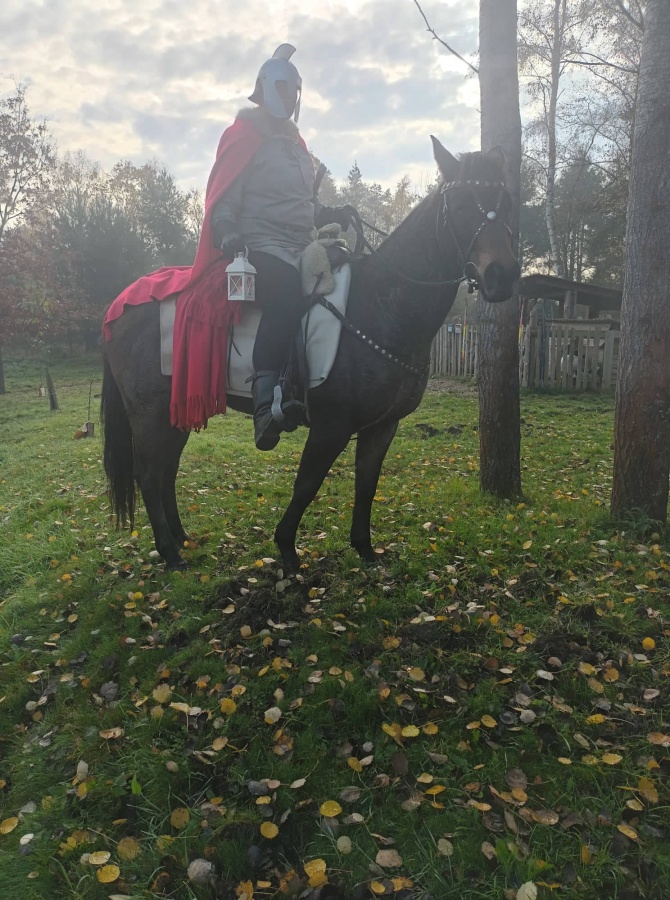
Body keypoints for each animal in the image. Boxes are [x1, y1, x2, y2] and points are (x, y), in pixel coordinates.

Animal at [101, 138, 520, 570]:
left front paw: (365, 548)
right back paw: (170, 553)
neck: (379, 304)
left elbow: (367, 482)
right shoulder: (331, 425)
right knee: (149, 474)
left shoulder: (382, 426)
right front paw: (287, 547)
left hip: (176, 409)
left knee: (166, 469)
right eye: (461, 205)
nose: (501, 276)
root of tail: (121, 303)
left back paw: (180, 539)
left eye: (506, 203)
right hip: (149, 412)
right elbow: (308, 483)